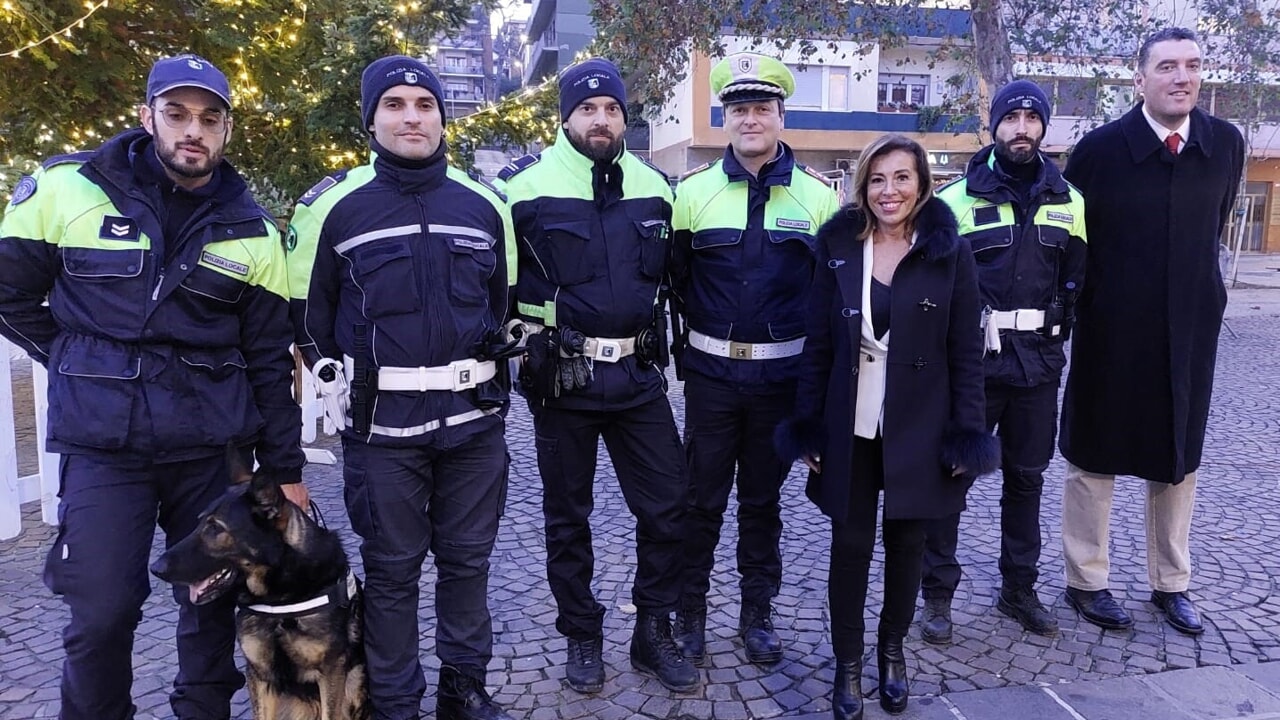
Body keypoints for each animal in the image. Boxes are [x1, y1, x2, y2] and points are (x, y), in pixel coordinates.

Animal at [152, 450, 371, 712]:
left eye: (215, 528)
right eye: (199, 523)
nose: (155, 568)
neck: (280, 598)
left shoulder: (331, 674)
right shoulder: (259, 674)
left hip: (354, 684)